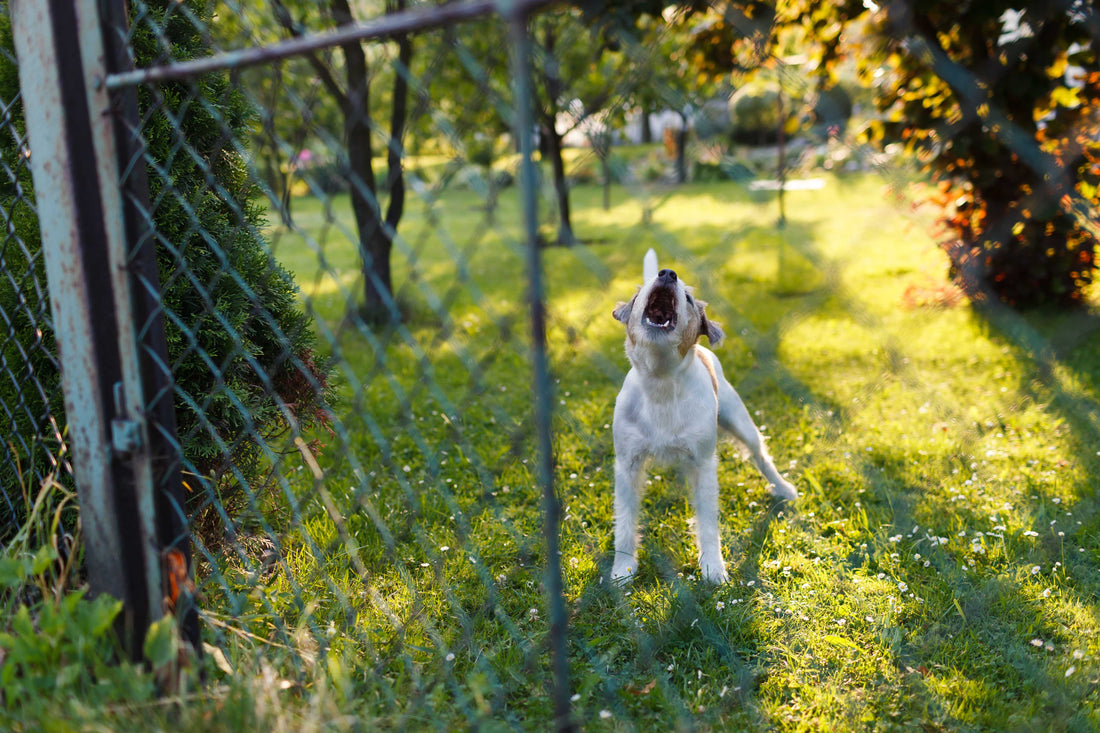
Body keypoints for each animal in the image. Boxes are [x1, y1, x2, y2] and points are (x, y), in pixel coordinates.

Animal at [611, 250, 800, 581]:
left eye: (687, 297)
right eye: (643, 289)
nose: (667, 274)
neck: (661, 382)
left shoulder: (703, 464)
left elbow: (709, 523)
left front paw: (713, 569)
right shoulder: (627, 465)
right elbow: (624, 523)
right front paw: (622, 570)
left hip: (741, 423)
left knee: (761, 455)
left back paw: (783, 488)